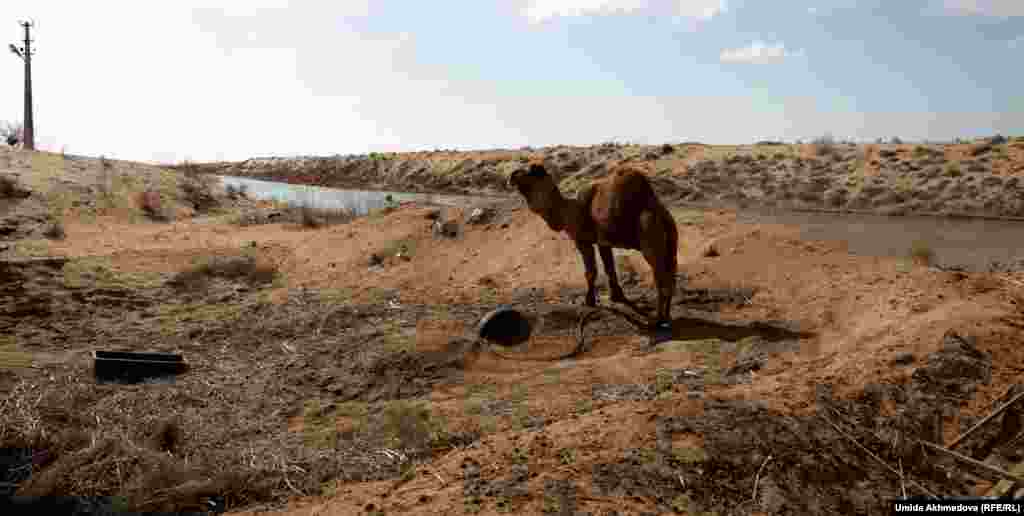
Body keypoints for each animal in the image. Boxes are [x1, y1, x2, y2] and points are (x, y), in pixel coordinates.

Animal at [505, 161, 679, 327]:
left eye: (528, 172)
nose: (512, 175)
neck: (569, 211)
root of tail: (662, 216)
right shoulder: (603, 242)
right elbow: (609, 269)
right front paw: (616, 297)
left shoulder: (582, 240)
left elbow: (590, 272)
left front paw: (588, 301)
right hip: (671, 241)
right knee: (671, 273)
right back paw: (667, 318)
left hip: (649, 235)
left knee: (660, 276)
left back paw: (657, 320)